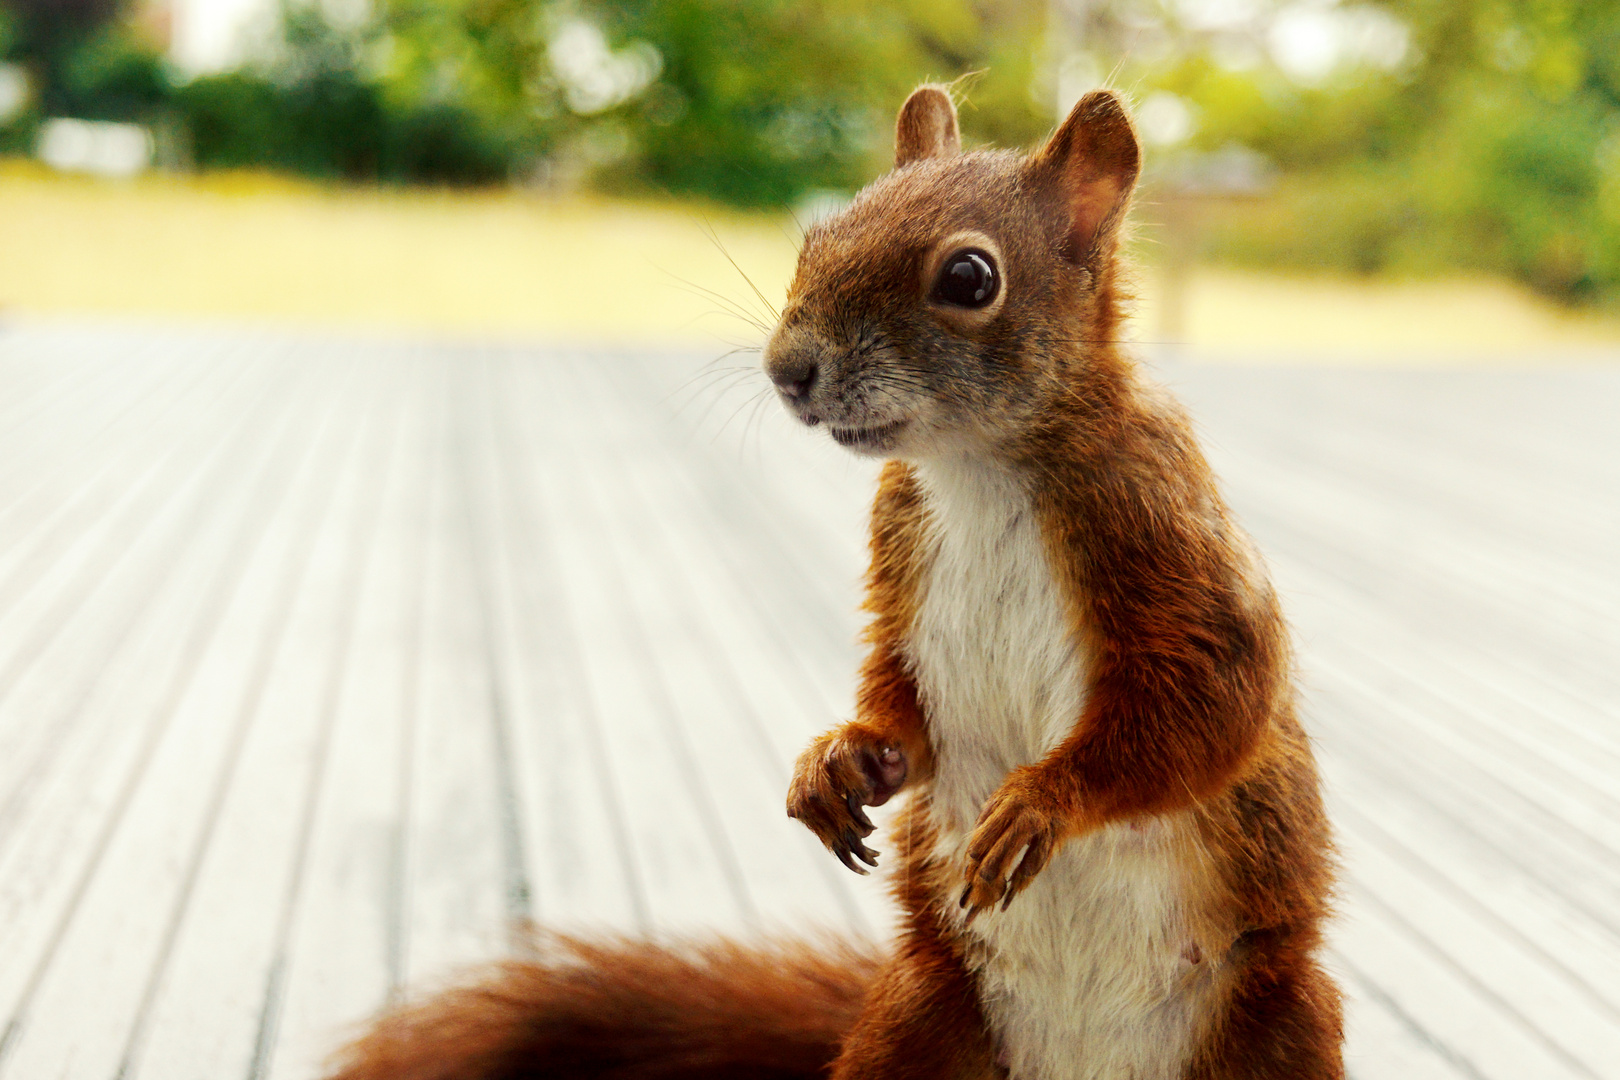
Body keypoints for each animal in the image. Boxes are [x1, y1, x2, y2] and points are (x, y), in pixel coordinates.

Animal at [328, 86, 1341, 1080]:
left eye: (970, 278)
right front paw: (838, 758)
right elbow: (904, 704)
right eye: (818, 235)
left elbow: (1213, 705)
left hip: (1283, 1022)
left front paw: (1042, 800)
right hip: (919, 1014)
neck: (977, 470)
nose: (787, 369)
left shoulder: (1159, 530)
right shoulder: (902, 551)